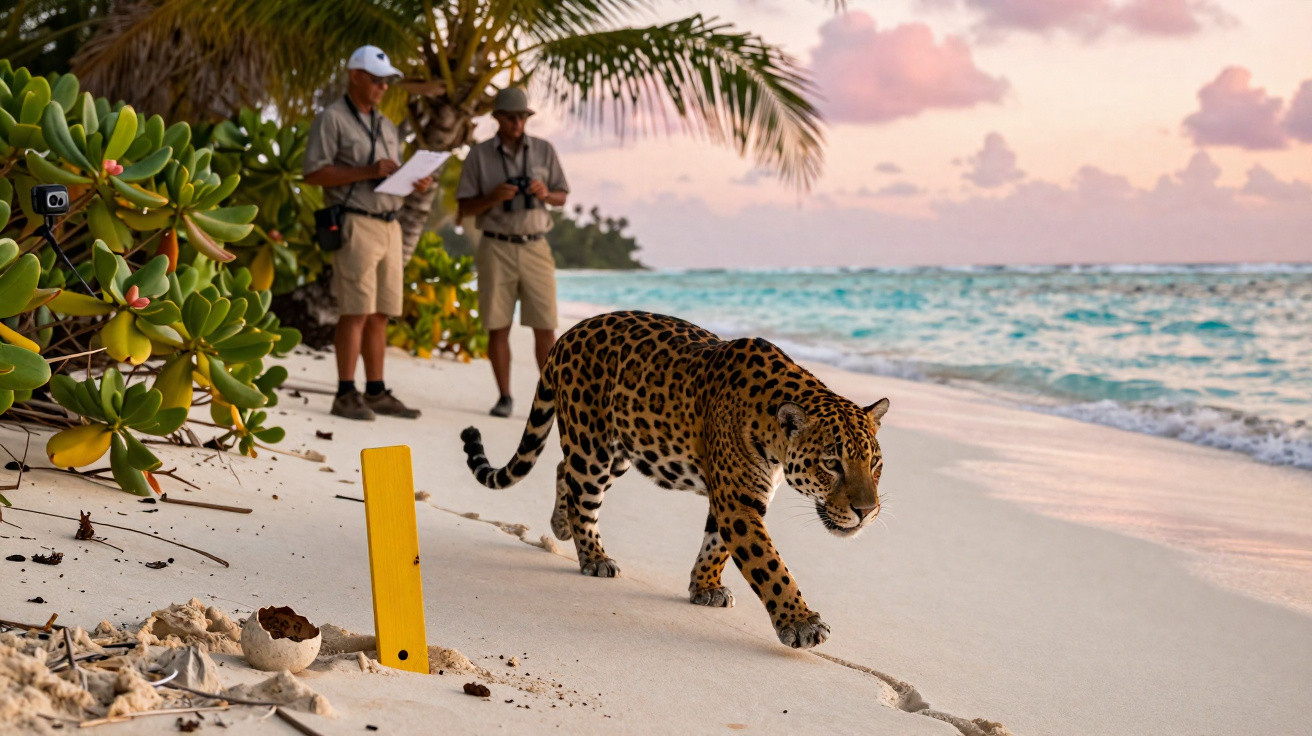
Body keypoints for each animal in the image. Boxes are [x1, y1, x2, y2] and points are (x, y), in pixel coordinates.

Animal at [459, 310, 889, 649]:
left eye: (875, 465)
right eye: (832, 464)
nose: (867, 512)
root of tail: (568, 335)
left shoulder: (739, 497)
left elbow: (716, 545)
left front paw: (705, 587)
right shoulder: (738, 502)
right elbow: (771, 567)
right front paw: (801, 623)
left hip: (621, 448)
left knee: (565, 470)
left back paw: (560, 525)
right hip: (593, 444)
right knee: (584, 496)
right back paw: (594, 557)